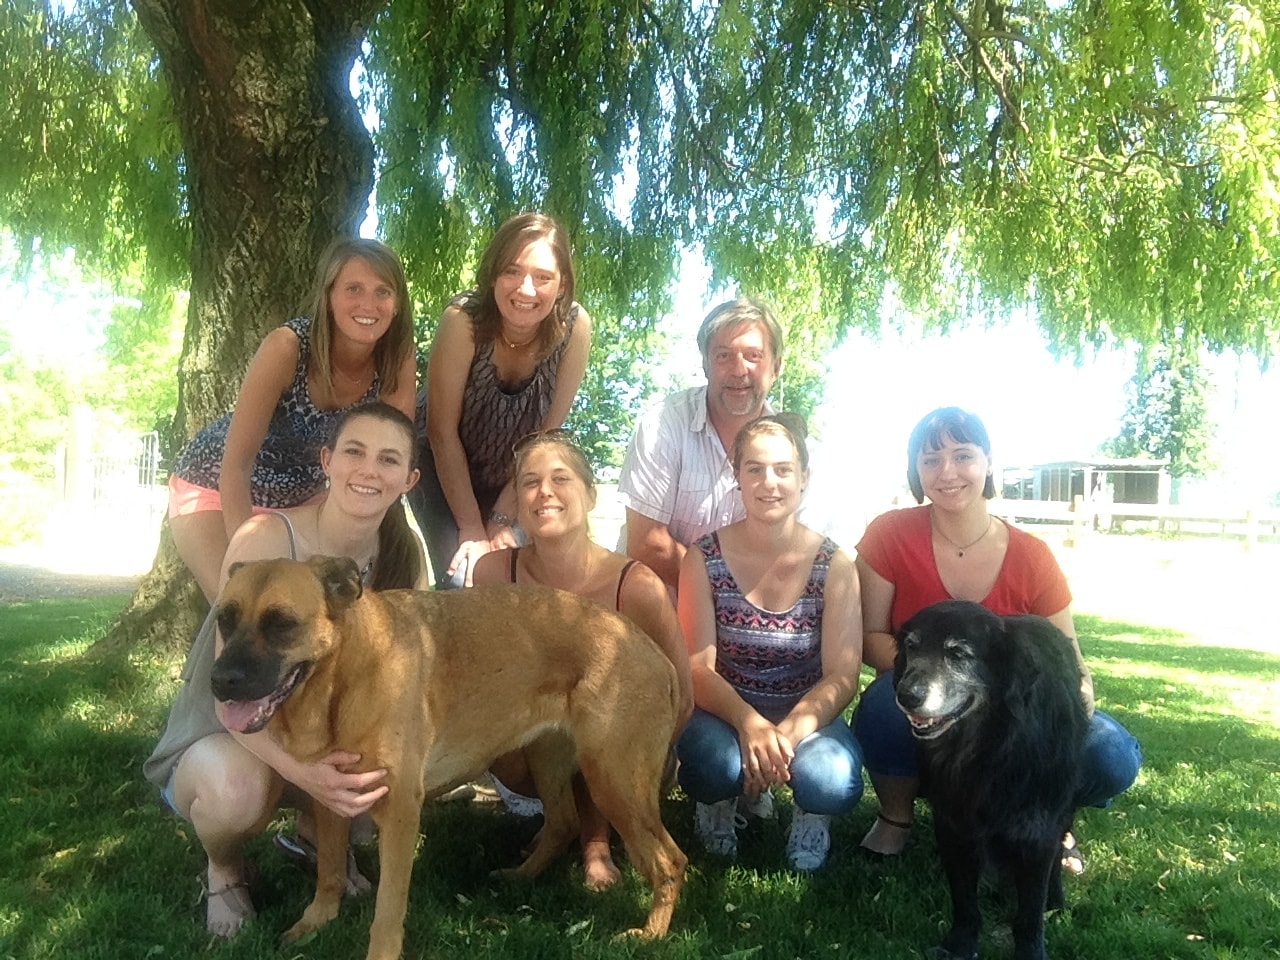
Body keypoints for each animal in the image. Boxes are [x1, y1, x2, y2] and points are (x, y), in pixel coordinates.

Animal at [209, 555, 687, 960]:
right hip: (548, 761)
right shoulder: (330, 798)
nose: (220, 681)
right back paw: (520, 876)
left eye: (281, 624)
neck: (341, 678)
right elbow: (327, 872)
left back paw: (650, 934)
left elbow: (387, 910)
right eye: (225, 619)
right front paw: (315, 922)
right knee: (564, 822)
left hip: (614, 783)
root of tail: (654, 651)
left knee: (670, 861)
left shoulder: (400, 813)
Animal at [894, 600, 1088, 960]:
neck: (990, 749)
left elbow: (1029, 913)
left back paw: (1055, 900)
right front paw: (959, 944)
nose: (906, 695)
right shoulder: (954, 826)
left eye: (958, 653)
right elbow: (964, 901)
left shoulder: (1036, 831)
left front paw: (1031, 951)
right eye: (912, 646)